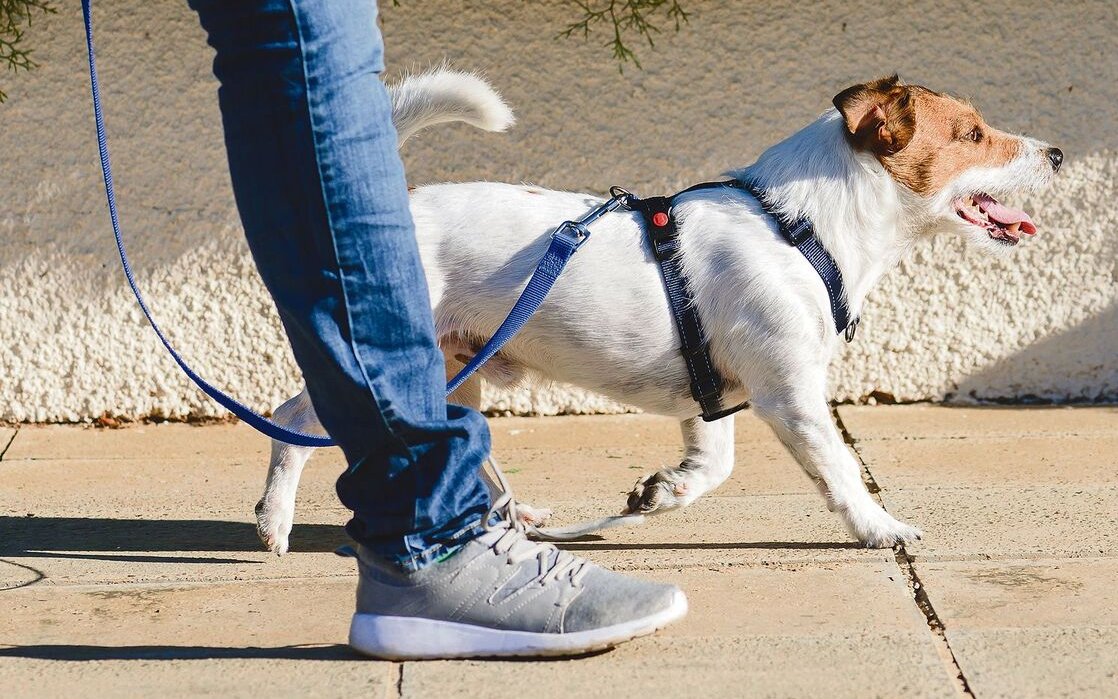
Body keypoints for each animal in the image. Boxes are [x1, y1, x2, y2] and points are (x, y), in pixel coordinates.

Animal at [251, 68, 1055, 552]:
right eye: (973, 134)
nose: (1055, 154)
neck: (801, 226)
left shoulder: (714, 396)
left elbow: (712, 465)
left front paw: (661, 492)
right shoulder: (791, 396)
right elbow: (841, 473)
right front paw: (880, 527)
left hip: (457, 371)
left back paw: (516, 518)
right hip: (390, 364)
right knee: (292, 420)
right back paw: (275, 521)